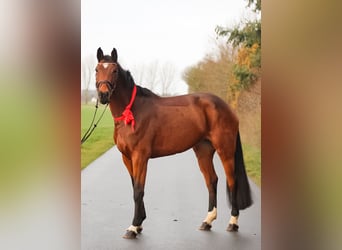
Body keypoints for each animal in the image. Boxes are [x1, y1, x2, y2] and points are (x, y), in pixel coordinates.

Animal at [95, 47, 252, 239]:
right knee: (212, 180)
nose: (103, 95)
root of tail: (227, 107)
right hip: (203, 150)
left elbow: (138, 190)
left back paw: (233, 223)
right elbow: (134, 187)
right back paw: (207, 221)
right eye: (97, 69)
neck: (132, 112)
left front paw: (133, 227)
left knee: (232, 181)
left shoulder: (140, 157)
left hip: (225, 150)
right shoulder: (127, 157)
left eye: (114, 70)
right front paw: (139, 224)